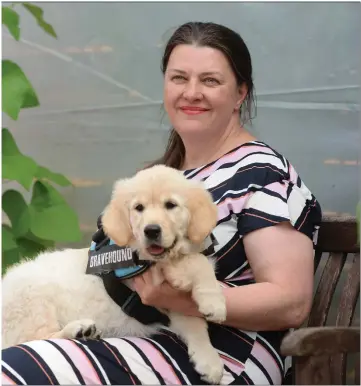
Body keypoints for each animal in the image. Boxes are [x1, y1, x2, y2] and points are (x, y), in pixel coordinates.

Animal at [1, 165, 225, 382]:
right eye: (139, 208)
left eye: (171, 205)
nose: (151, 231)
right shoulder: (149, 268)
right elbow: (197, 262)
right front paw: (214, 302)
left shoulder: (167, 301)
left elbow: (195, 323)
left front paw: (209, 360)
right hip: (31, 302)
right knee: (35, 338)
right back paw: (77, 330)